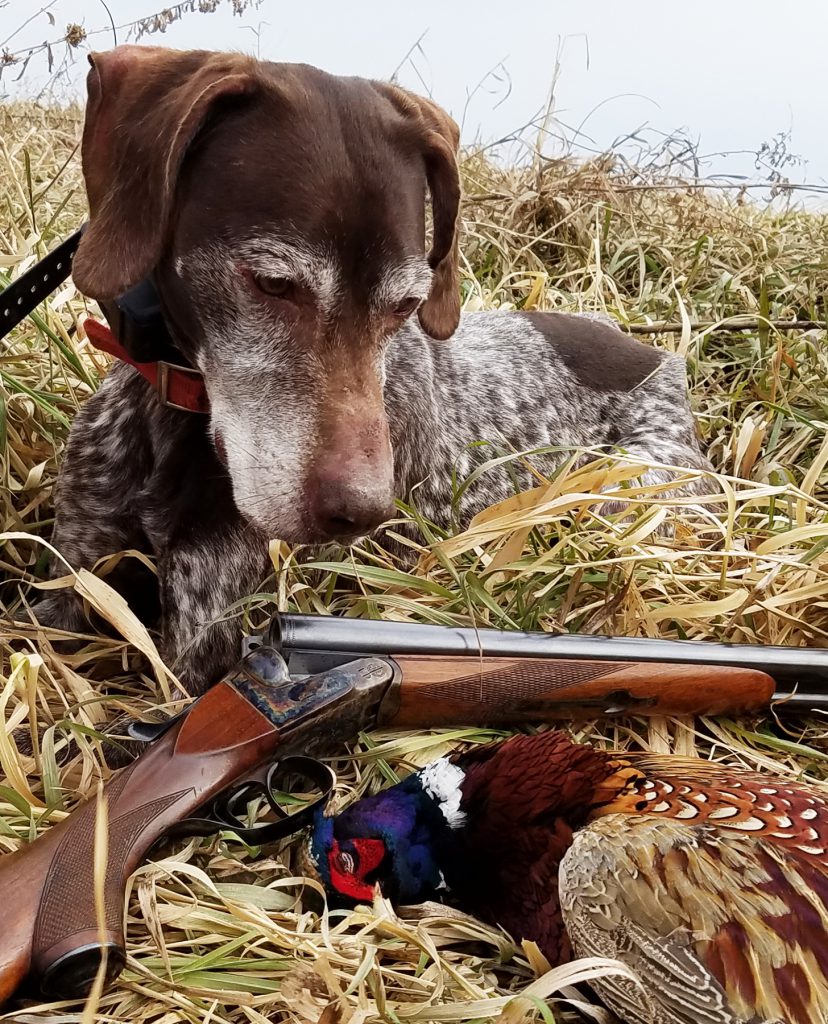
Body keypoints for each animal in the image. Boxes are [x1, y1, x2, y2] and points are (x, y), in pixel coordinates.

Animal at [34, 44, 712, 692]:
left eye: (406, 305)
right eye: (273, 283)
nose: (362, 514)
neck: (176, 409)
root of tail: (660, 357)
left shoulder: (197, 644)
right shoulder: (70, 583)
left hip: (633, 493)